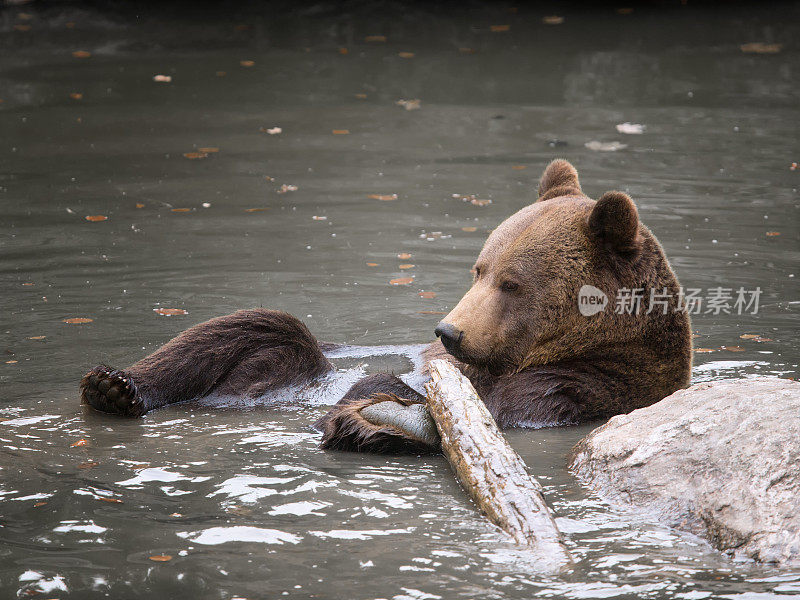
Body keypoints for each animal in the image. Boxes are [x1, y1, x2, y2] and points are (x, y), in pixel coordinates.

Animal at [83, 162, 692, 452]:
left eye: (512, 283)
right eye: (479, 268)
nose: (450, 332)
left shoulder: (586, 384)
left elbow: (493, 411)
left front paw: (362, 417)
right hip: (291, 360)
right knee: (251, 329)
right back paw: (114, 385)